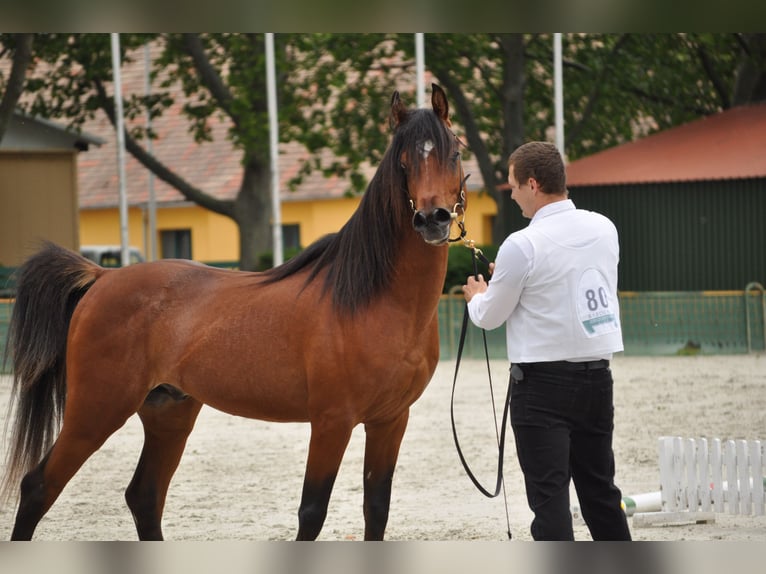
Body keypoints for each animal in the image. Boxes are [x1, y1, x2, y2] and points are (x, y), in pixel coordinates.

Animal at [1, 84, 468, 541]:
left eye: (455, 153)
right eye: (403, 162)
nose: (432, 219)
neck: (375, 301)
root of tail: (102, 277)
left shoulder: (389, 421)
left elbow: (377, 509)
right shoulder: (332, 422)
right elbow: (312, 513)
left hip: (169, 412)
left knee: (144, 497)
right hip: (95, 412)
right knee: (39, 486)